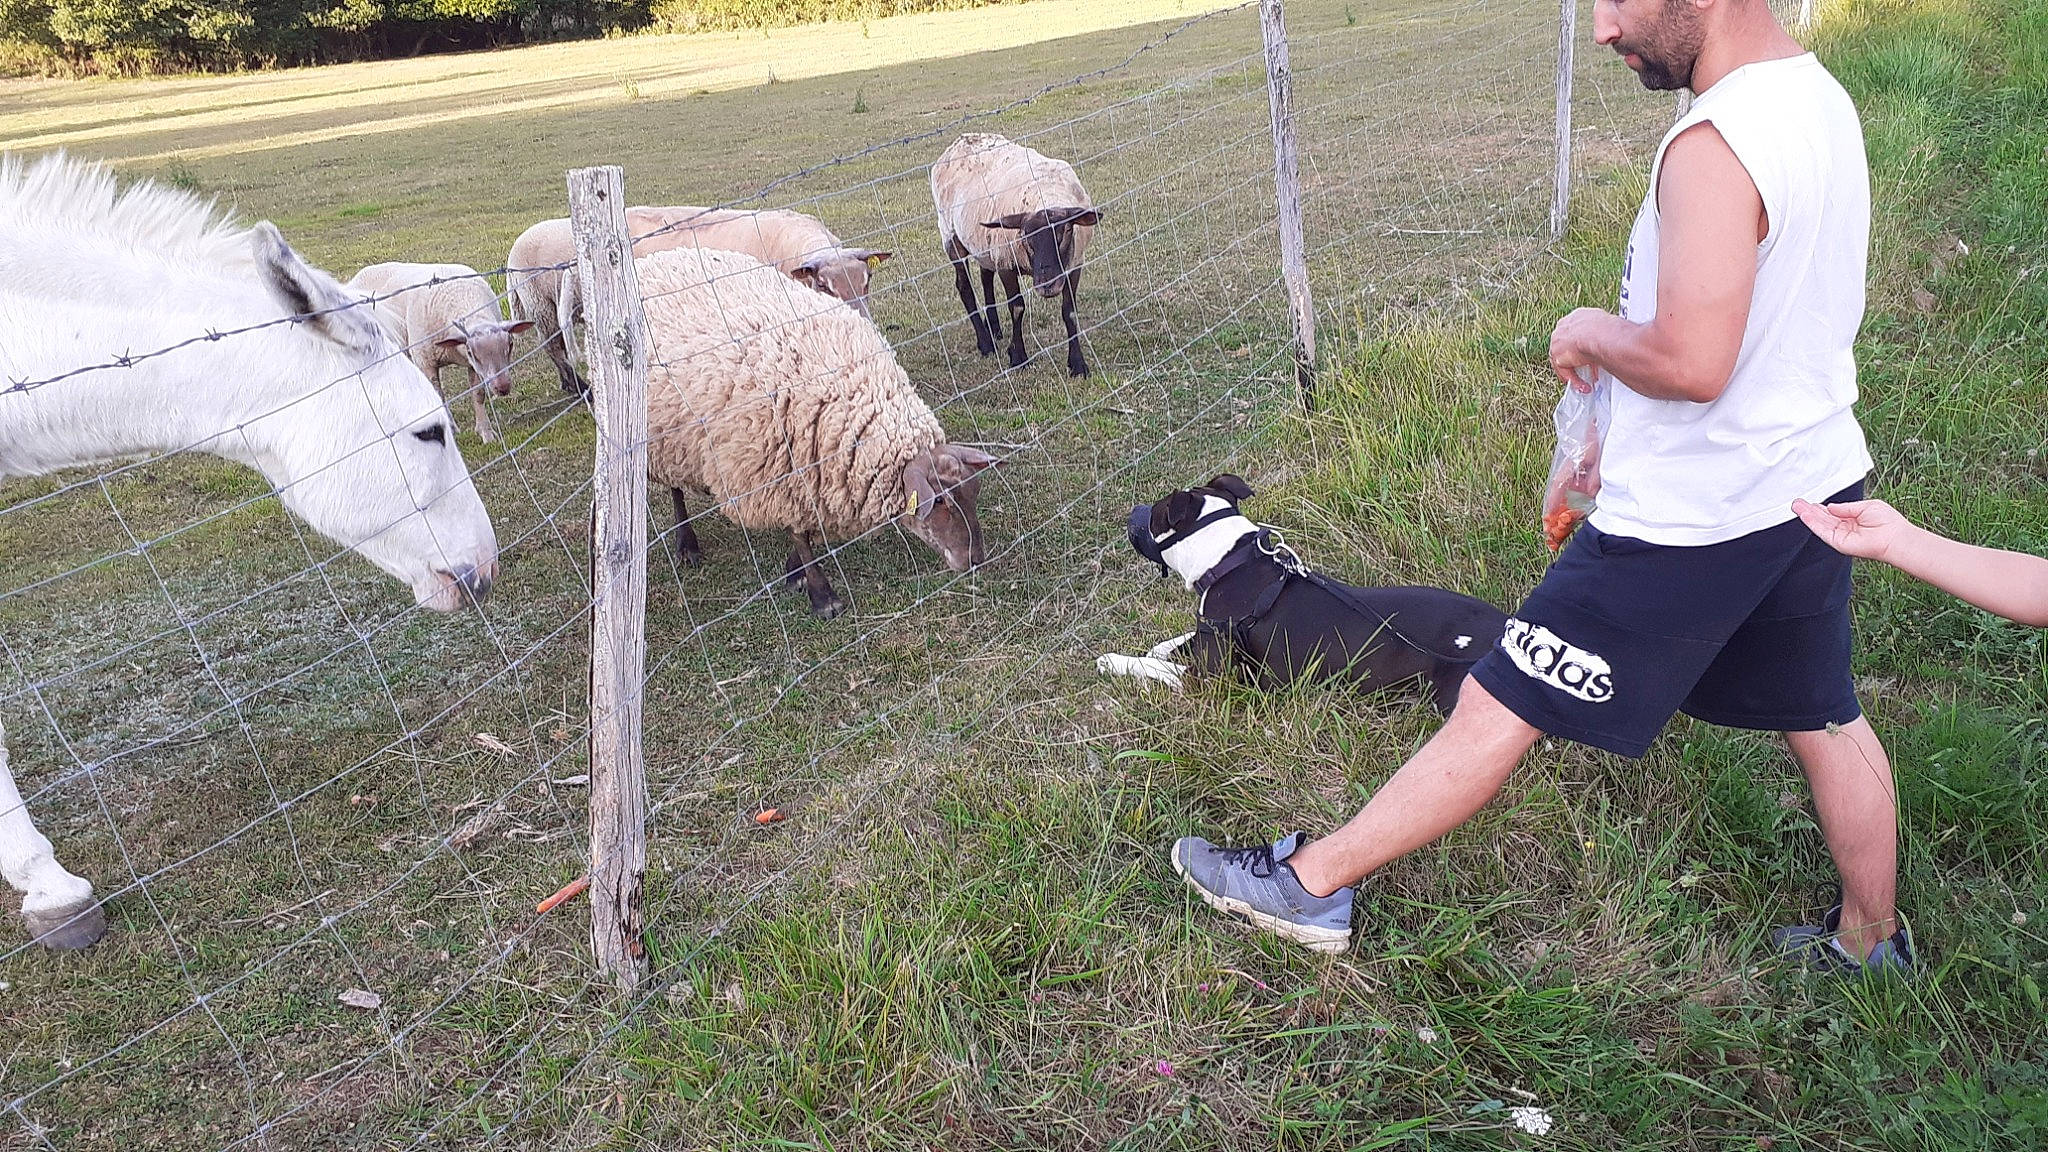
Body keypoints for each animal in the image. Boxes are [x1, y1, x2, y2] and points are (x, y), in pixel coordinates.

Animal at [345, 262, 532, 444]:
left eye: (510, 344)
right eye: (471, 352)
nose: (503, 388)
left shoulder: (473, 367)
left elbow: (478, 395)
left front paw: (486, 432)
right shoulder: (426, 361)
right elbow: (440, 396)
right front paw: (452, 429)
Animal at [505, 206, 890, 400]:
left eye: (867, 280)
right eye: (823, 285)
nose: (867, 334)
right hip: (548, 309)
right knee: (555, 348)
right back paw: (580, 390)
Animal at [637, 246, 999, 618]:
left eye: (974, 491)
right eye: (939, 501)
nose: (975, 561)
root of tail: (658, 258)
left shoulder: (807, 471)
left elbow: (807, 526)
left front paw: (793, 570)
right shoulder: (776, 470)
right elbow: (800, 533)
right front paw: (821, 594)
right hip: (660, 435)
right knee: (675, 489)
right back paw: (686, 545)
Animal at [930, 132, 1099, 377]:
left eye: (1066, 231)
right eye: (1024, 236)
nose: (1047, 285)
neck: (1045, 194)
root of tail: (961, 139)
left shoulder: (1074, 265)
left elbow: (1069, 312)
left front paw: (1077, 364)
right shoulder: (1006, 264)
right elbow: (1017, 307)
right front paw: (1018, 357)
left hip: (983, 243)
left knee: (985, 278)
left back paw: (994, 329)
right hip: (951, 238)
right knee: (965, 287)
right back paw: (986, 343)